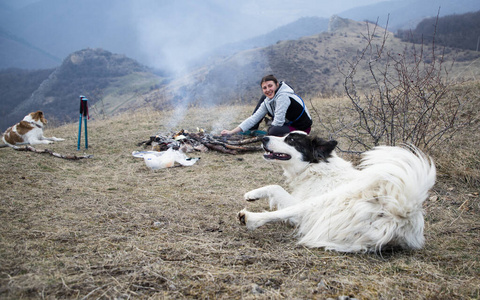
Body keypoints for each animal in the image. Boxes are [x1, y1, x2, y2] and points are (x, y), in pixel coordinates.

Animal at [238, 132, 436, 252]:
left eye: (291, 140)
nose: (264, 138)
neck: (314, 167)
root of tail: (401, 212)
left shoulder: (300, 206)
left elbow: (276, 187)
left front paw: (253, 196)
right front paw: (252, 194)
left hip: (317, 204)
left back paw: (251, 218)